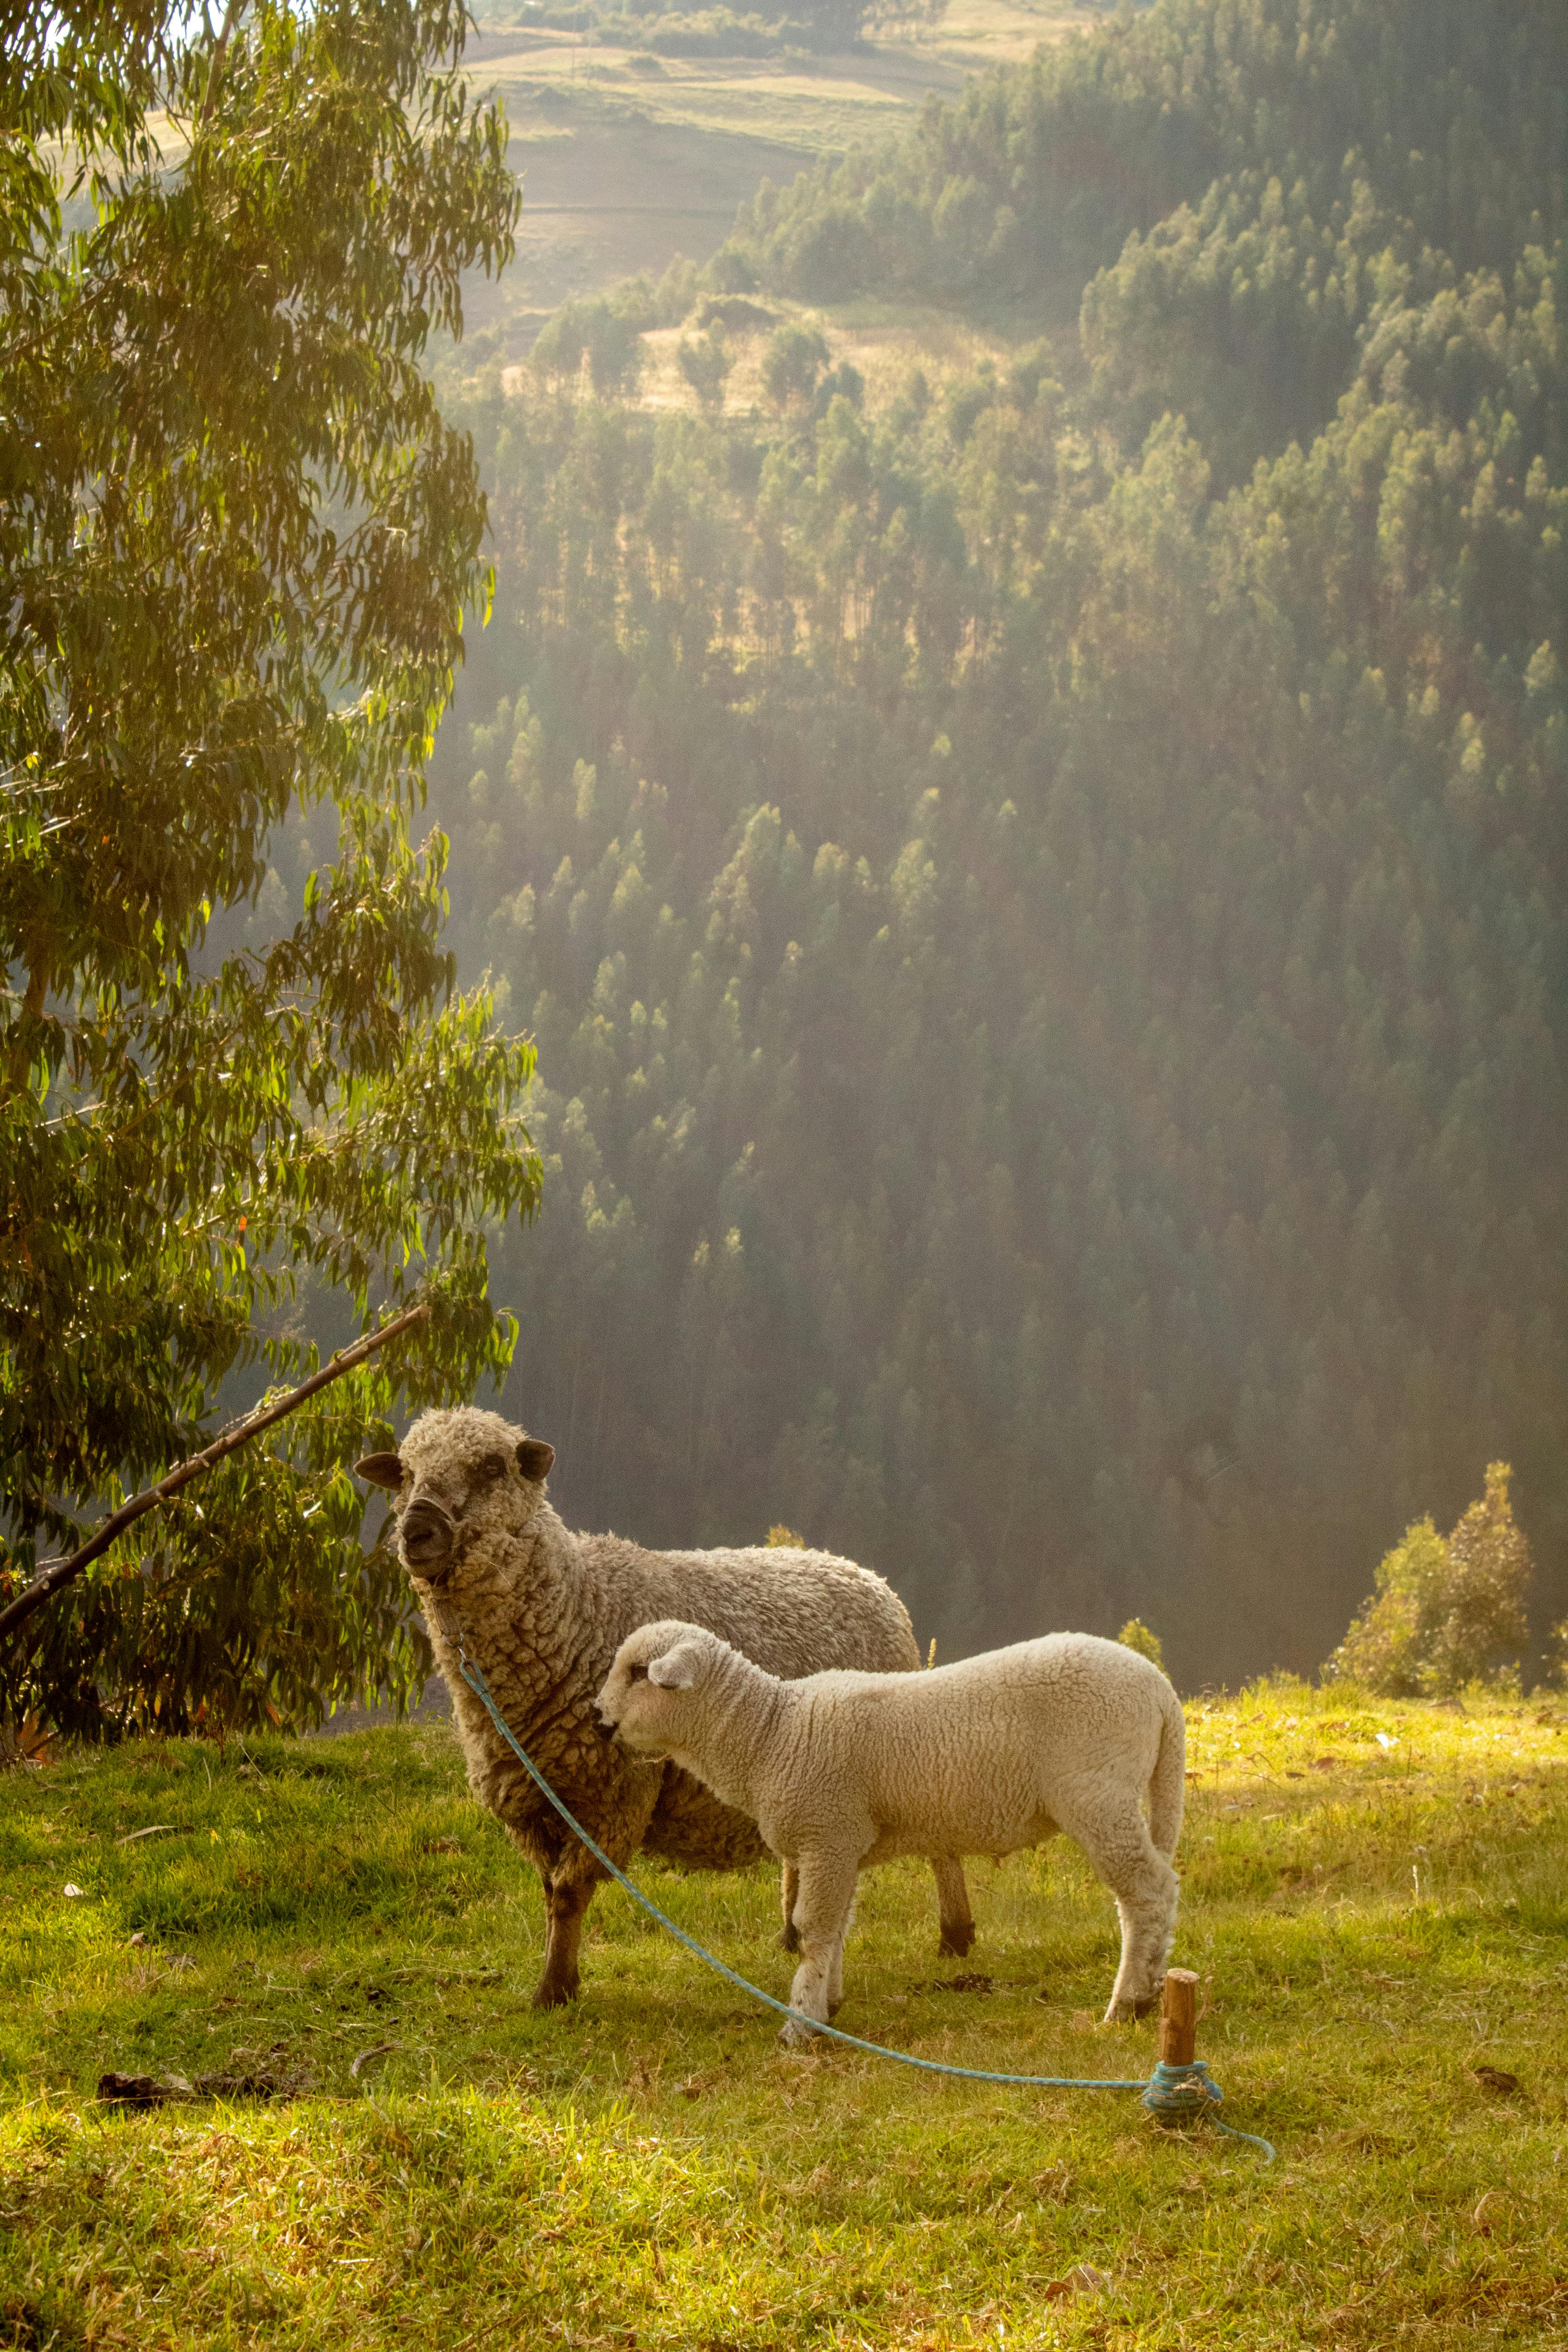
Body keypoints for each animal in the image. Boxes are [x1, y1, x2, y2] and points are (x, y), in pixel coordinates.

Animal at [357, 1401, 973, 2013]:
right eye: (406, 1473)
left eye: (490, 1467)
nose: (416, 1530)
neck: (576, 1609)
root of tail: (867, 1577)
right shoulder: (534, 1801)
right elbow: (551, 1892)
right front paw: (561, 1980)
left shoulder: (614, 1793)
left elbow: (569, 1892)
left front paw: (554, 1990)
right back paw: (797, 1936)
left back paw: (956, 1936)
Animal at [594, 1618, 1185, 2041]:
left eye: (639, 1672)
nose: (597, 1718)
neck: (770, 1735)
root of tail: (1161, 1689)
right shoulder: (842, 1843)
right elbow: (836, 1928)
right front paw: (828, 2004)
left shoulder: (826, 1833)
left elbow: (812, 1929)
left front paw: (800, 2023)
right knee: (1152, 1891)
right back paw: (1152, 1991)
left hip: (1098, 1793)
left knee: (1148, 1892)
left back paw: (1128, 2002)